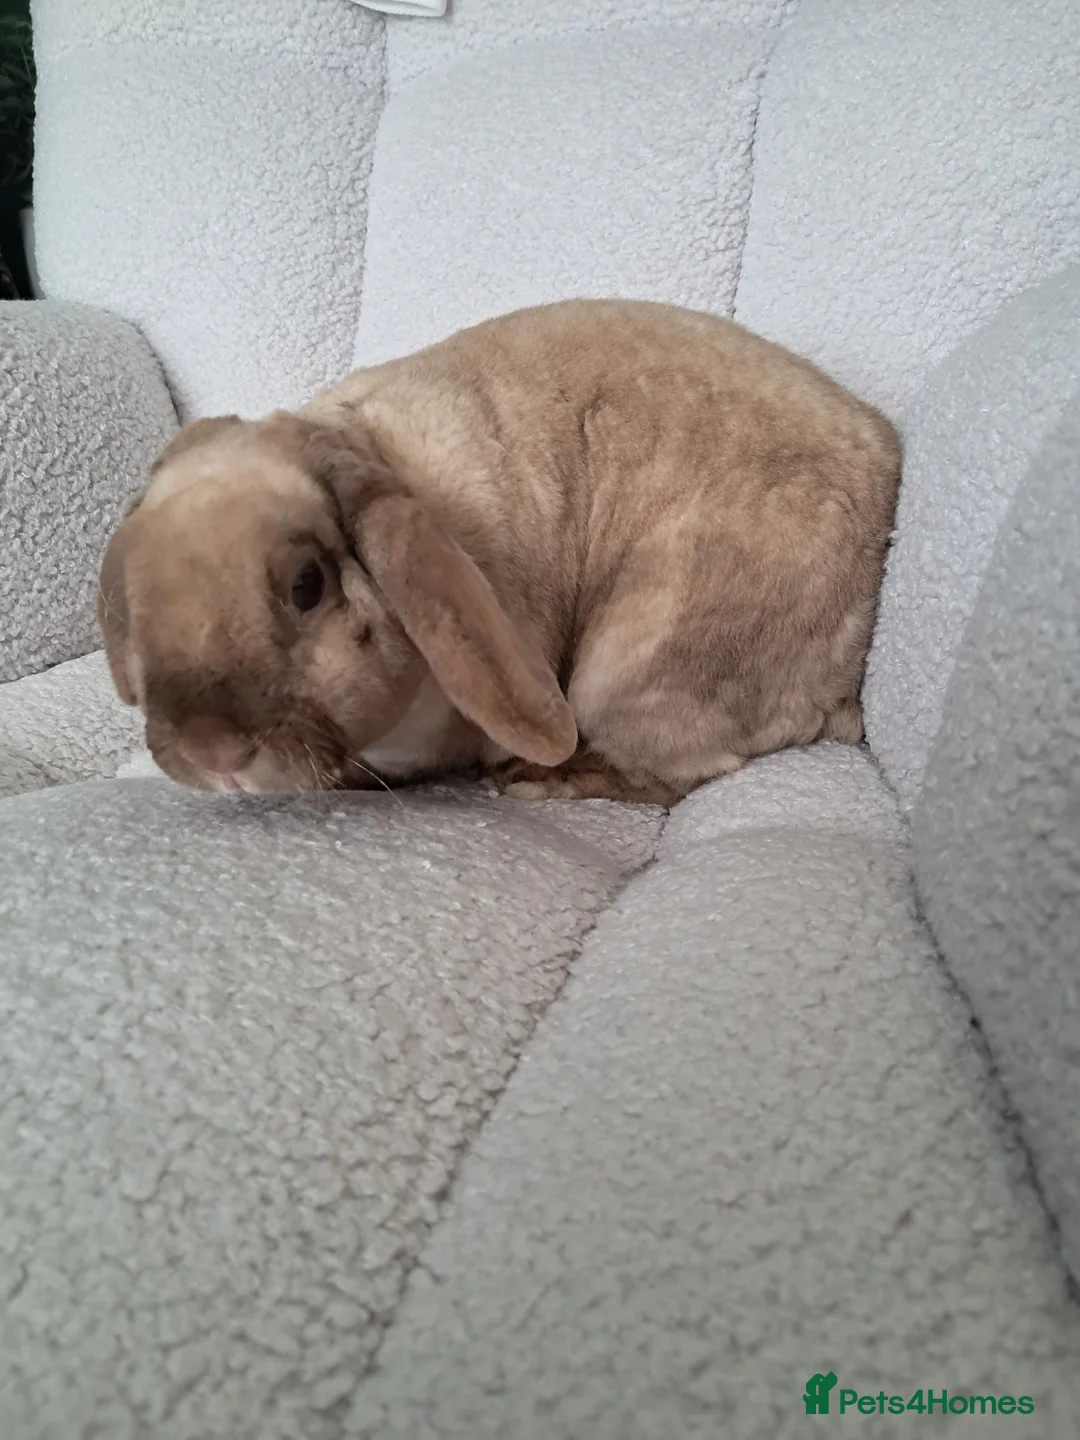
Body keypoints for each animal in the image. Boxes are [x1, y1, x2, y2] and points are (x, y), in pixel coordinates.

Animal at [98, 299, 900, 805]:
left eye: (307, 584)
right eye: (133, 604)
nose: (214, 757)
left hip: (631, 666)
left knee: (678, 776)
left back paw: (548, 781)